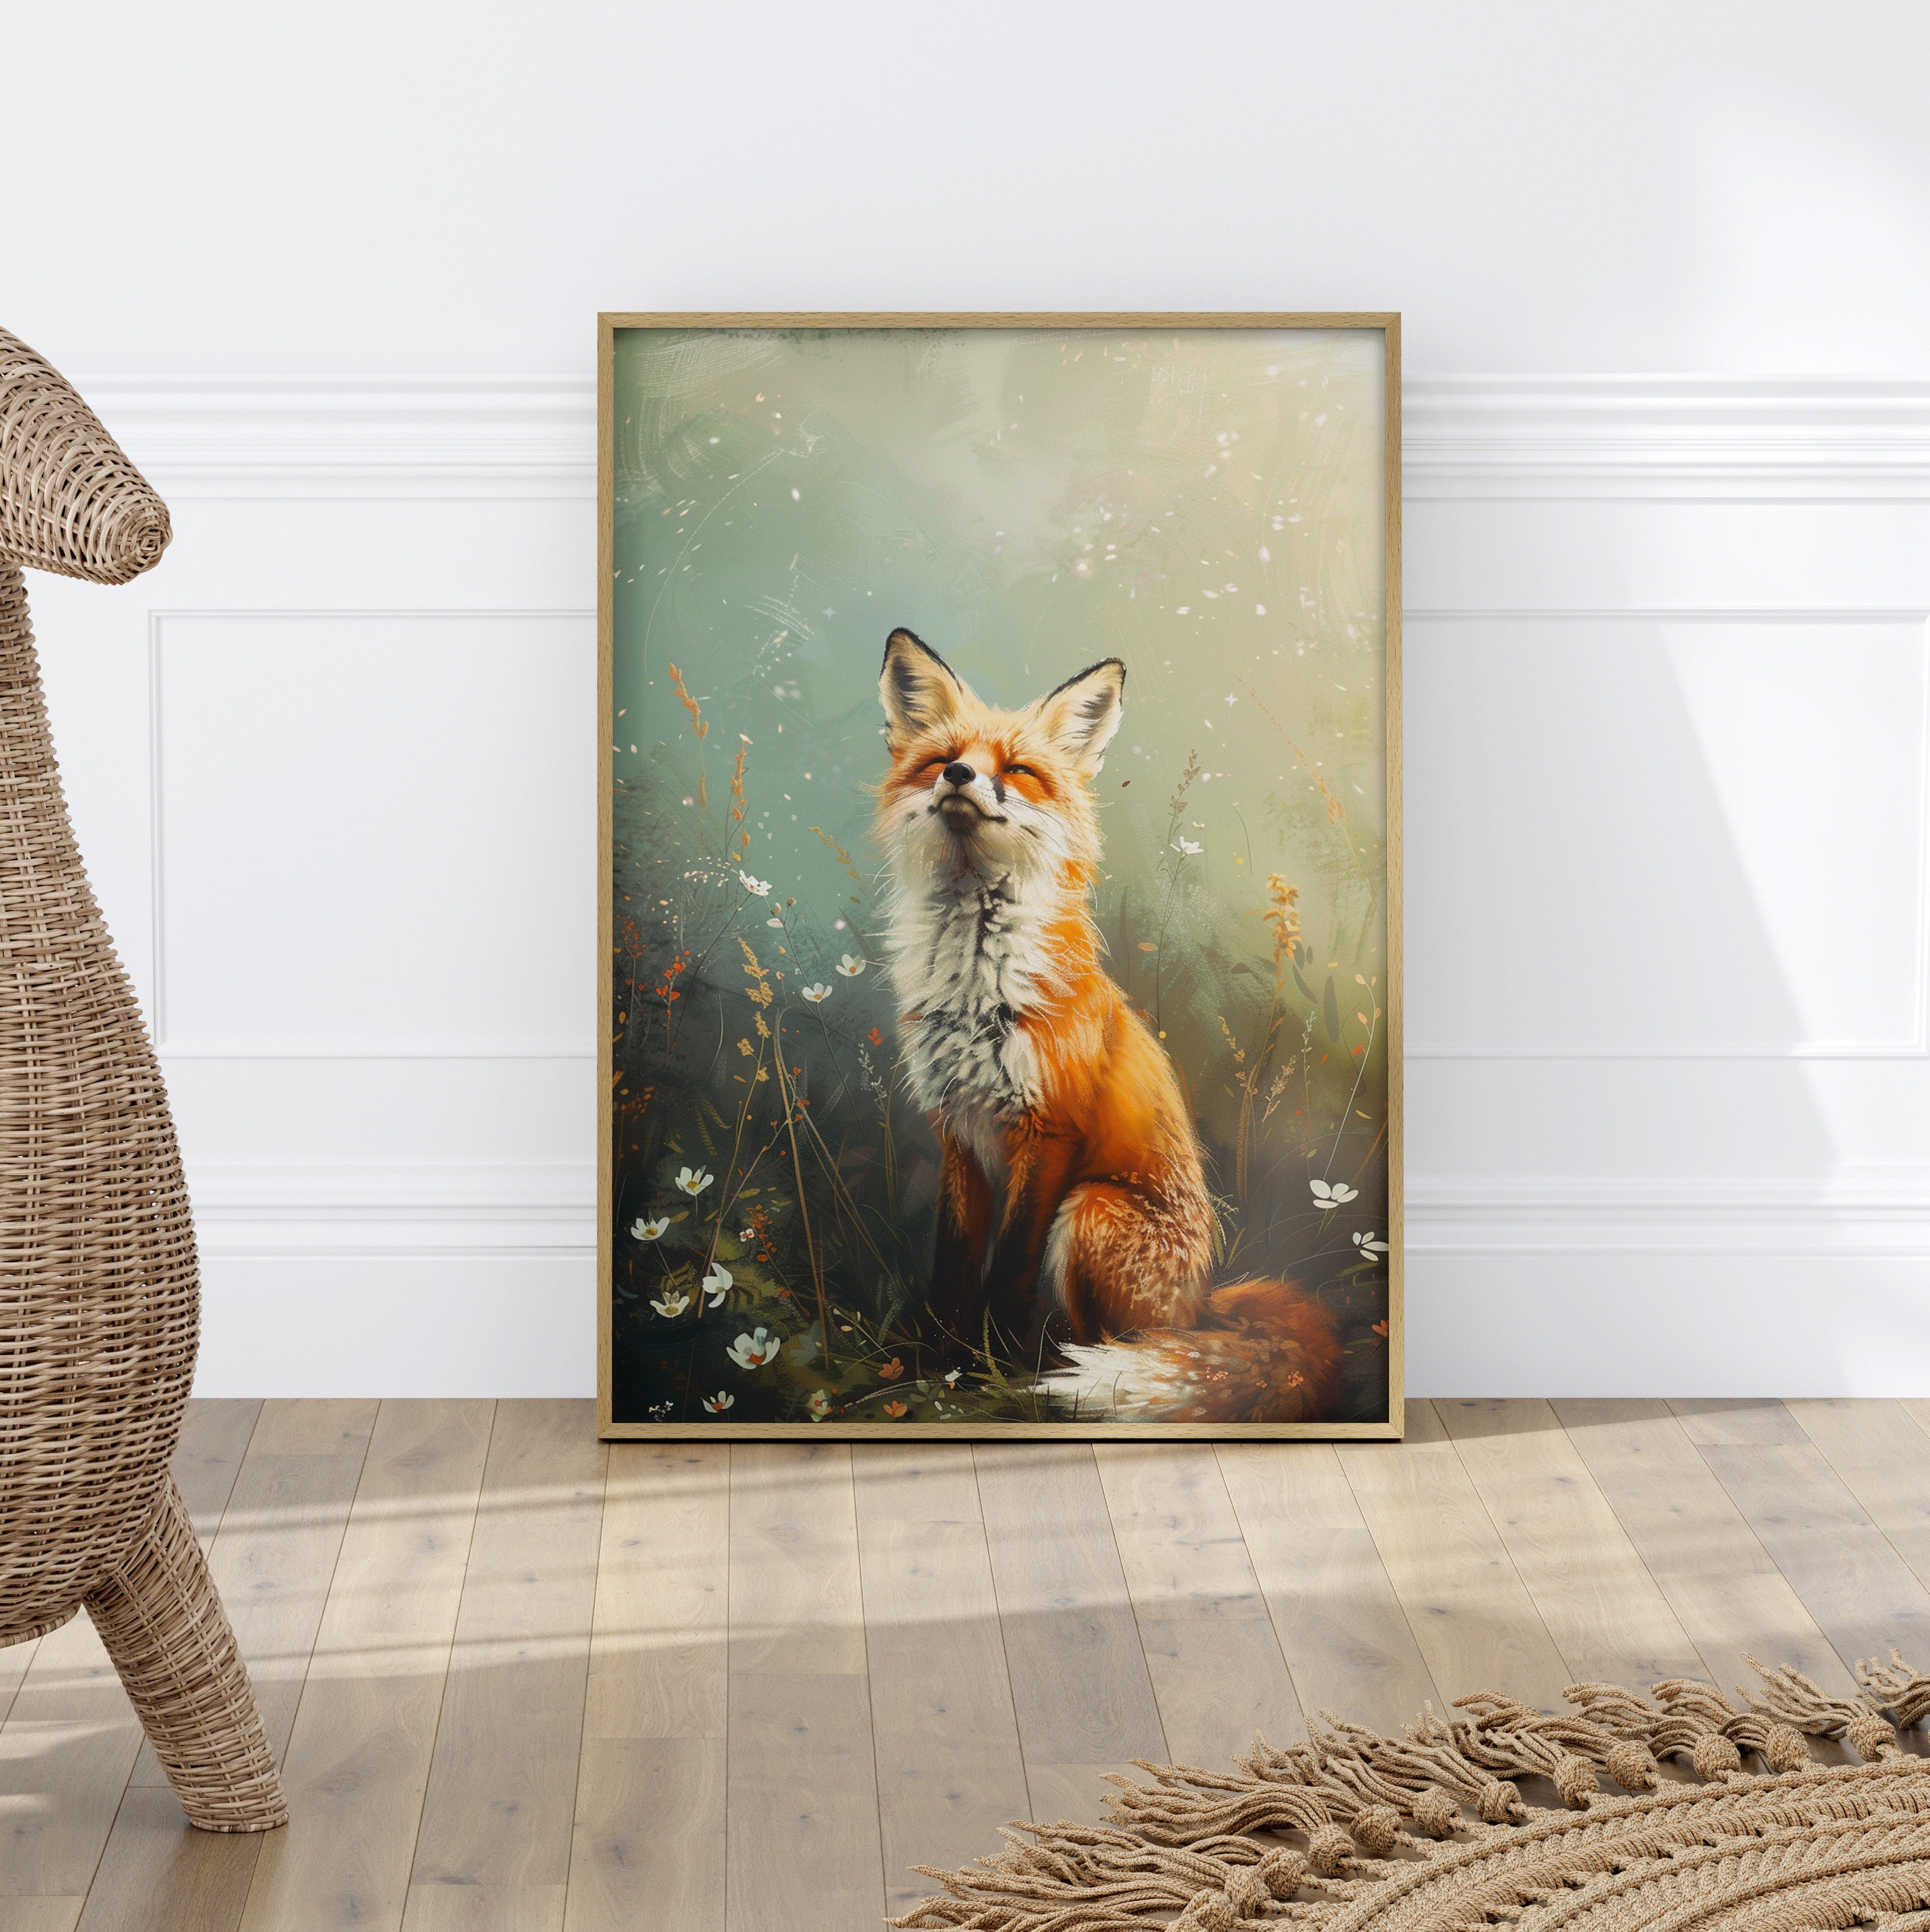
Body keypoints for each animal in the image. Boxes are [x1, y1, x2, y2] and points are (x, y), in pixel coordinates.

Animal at [874, 626, 1340, 1423]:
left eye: (1018, 770)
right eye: (942, 759)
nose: (960, 776)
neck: (975, 981)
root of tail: (1201, 1307)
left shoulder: (1048, 1130)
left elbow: (1007, 1274)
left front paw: (991, 1373)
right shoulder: (957, 1132)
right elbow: (952, 1267)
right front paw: (939, 1365)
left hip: (1090, 1208)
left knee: (1120, 1348)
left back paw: (1068, 1373)